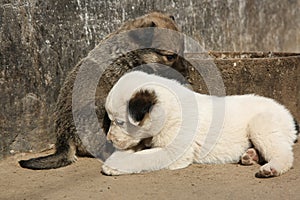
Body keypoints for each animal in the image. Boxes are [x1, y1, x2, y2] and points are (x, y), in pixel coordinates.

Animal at [102, 71, 298, 177]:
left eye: (120, 122)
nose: (109, 139)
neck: (168, 110)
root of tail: (288, 115)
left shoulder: (174, 152)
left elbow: (143, 157)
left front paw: (113, 165)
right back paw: (250, 156)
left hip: (262, 125)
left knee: (283, 154)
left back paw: (272, 168)